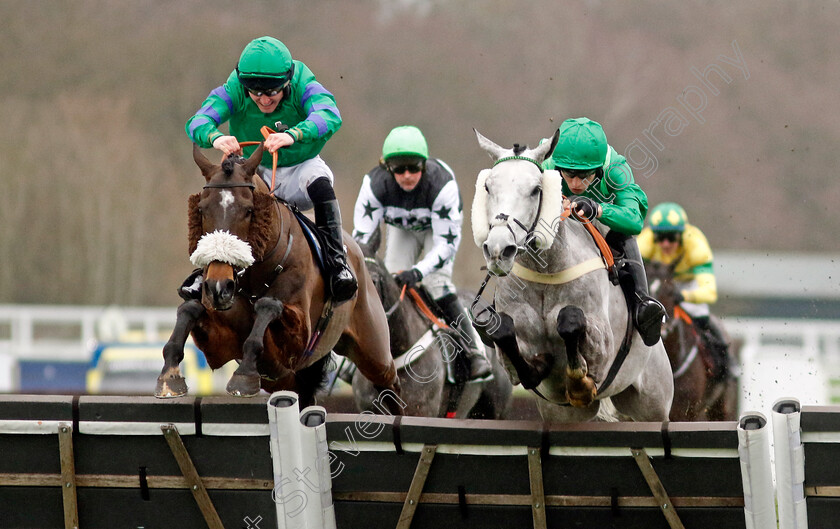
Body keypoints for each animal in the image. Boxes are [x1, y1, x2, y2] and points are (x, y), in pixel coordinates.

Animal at [157, 142, 400, 406]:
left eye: (248, 210)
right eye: (201, 209)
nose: (218, 287)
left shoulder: (296, 342)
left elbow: (268, 306)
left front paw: (243, 375)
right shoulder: (220, 344)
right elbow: (189, 309)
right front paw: (169, 375)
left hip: (376, 353)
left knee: (391, 383)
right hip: (288, 381)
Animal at [472, 130, 676, 422]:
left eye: (536, 190)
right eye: (488, 187)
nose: (500, 249)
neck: (545, 272)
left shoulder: (602, 344)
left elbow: (570, 321)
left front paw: (579, 382)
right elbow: (504, 334)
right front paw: (540, 365)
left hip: (652, 405)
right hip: (563, 416)